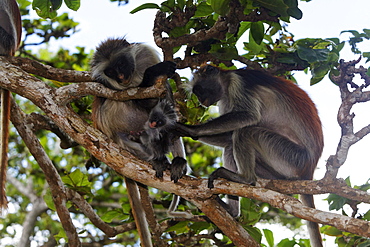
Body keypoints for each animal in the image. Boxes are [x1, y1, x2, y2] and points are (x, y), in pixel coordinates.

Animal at [89, 38, 188, 245]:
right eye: (110, 72)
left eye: (121, 64)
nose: (120, 77)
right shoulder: (106, 85)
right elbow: (139, 100)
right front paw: (153, 73)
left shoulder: (145, 55)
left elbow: (165, 100)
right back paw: (156, 159)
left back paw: (177, 162)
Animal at [176, 65, 324, 247]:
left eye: (199, 90)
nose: (201, 101)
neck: (226, 80)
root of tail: (309, 170)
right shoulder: (225, 98)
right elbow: (229, 134)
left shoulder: (238, 83)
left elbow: (248, 116)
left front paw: (190, 129)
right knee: (230, 146)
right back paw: (232, 210)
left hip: (292, 157)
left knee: (245, 132)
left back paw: (245, 178)